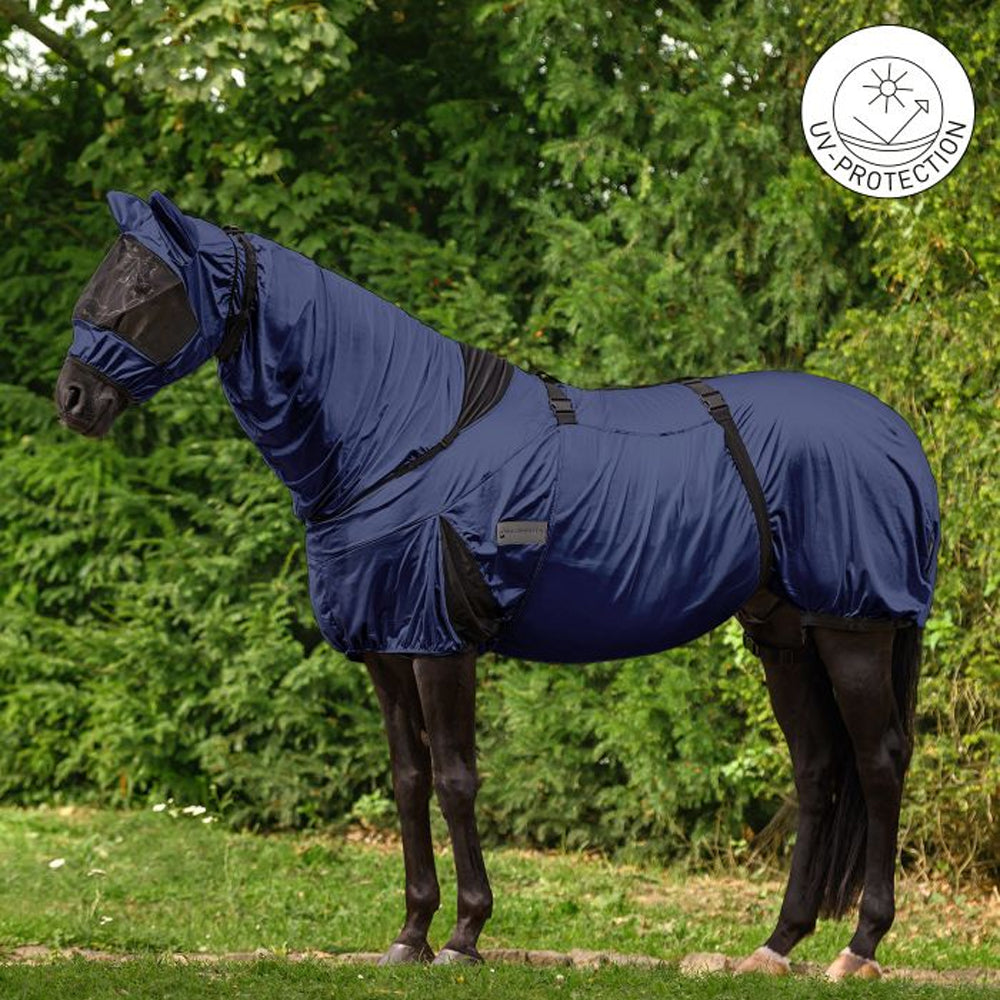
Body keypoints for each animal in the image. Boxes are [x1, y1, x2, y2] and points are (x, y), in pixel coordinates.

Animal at [54, 191, 939, 980]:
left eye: (150, 288)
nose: (72, 398)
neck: (401, 439)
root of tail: (896, 434)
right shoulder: (387, 647)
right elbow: (409, 781)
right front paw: (410, 933)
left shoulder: (441, 643)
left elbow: (456, 780)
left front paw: (464, 934)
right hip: (785, 635)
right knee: (818, 770)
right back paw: (777, 945)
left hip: (853, 627)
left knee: (879, 762)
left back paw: (859, 946)